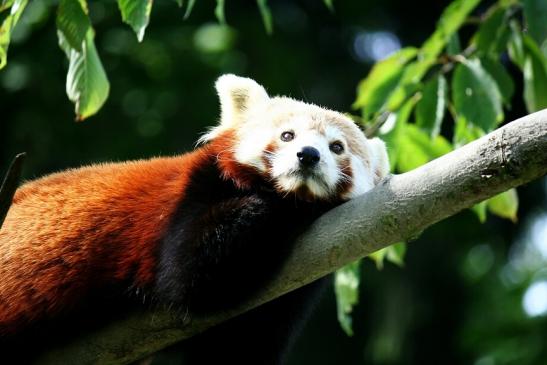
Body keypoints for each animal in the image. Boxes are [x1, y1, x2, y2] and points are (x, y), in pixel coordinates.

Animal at [0, 74, 390, 362]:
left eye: (337, 147)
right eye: (287, 135)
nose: (308, 155)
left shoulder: (297, 285)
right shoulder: (192, 196)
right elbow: (190, 273)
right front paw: (288, 207)